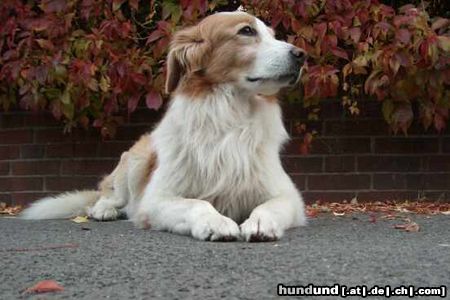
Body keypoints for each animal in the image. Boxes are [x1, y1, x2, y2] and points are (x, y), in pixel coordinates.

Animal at [21, 11, 310, 241]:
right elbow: (197, 204)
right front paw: (215, 222)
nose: (301, 55)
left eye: (272, 34)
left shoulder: (289, 197)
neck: (230, 117)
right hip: (135, 162)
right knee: (108, 196)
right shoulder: (156, 200)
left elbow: (268, 206)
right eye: (246, 31)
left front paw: (260, 223)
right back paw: (104, 210)